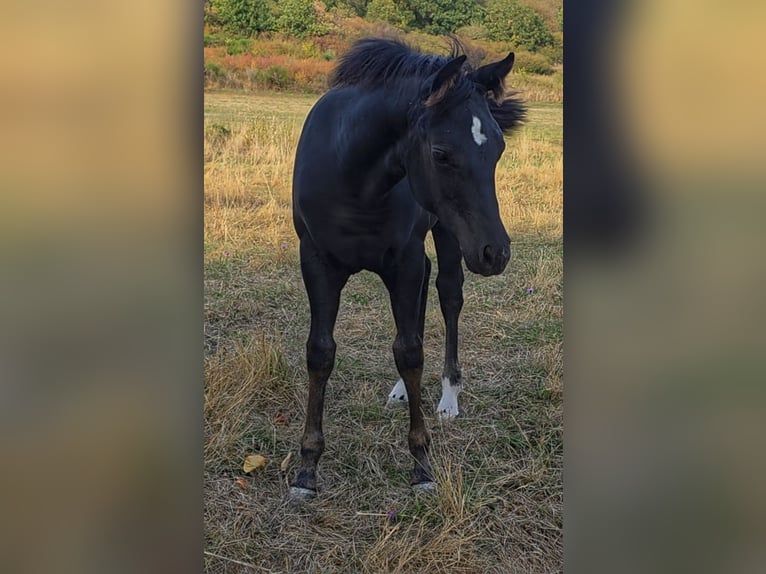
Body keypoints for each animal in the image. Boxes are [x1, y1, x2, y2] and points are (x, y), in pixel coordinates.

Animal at [290, 38, 525, 499]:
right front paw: (307, 468)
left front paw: (421, 464)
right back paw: (401, 391)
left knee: (448, 296)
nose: (497, 253)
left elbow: (410, 352)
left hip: (448, 235)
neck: (354, 181)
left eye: (498, 149)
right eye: (441, 154)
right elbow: (320, 352)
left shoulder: (406, 260)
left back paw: (449, 396)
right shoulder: (317, 262)